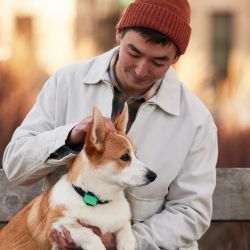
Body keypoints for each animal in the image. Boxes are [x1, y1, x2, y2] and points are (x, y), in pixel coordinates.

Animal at [0, 103, 156, 250]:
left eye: (135, 155)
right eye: (124, 157)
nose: (153, 176)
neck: (99, 200)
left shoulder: (123, 221)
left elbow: (126, 232)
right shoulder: (59, 226)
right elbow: (90, 236)